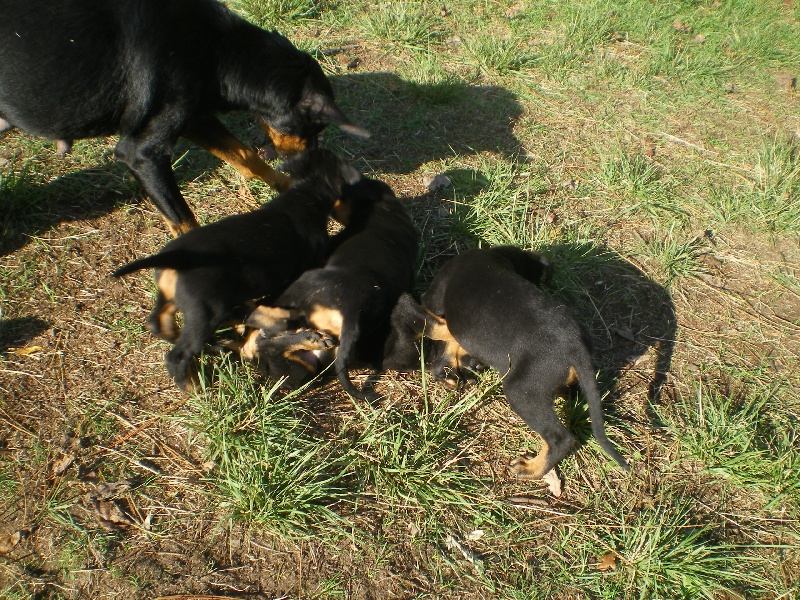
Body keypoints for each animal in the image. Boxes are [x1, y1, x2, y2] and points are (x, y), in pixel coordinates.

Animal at [0, 0, 368, 237]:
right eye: (315, 129)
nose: (310, 159)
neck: (221, 51)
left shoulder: (195, 118)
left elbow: (247, 158)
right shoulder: (143, 155)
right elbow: (186, 224)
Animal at [111, 150, 360, 390]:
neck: (303, 196)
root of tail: (174, 258)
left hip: (177, 299)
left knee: (161, 324)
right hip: (208, 312)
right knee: (185, 353)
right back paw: (192, 387)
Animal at [406, 246, 632, 480]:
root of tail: (576, 347)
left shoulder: (433, 301)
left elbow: (441, 333)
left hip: (521, 391)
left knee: (560, 438)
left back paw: (530, 469)